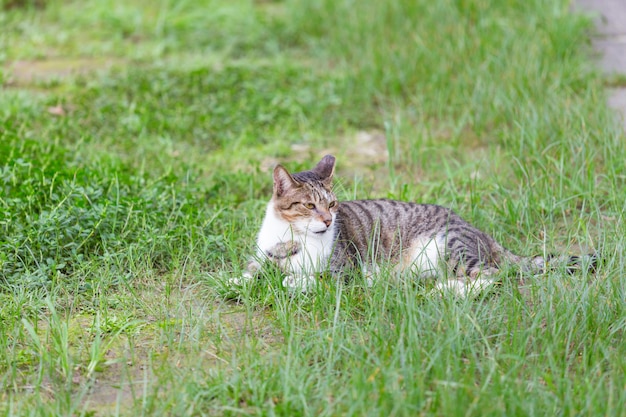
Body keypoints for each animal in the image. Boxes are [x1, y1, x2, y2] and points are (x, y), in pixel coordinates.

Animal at [233, 154, 596, 294]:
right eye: (309, 205)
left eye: (332, 205)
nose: (327, 219)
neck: (290, 236)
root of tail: (483, 232)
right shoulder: (264, 253)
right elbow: (254, 268)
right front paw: (236, 279)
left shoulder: (345, 272)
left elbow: (309, 278)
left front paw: (293, 281)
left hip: (453, 244)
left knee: (492, 274)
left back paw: (447, 292)